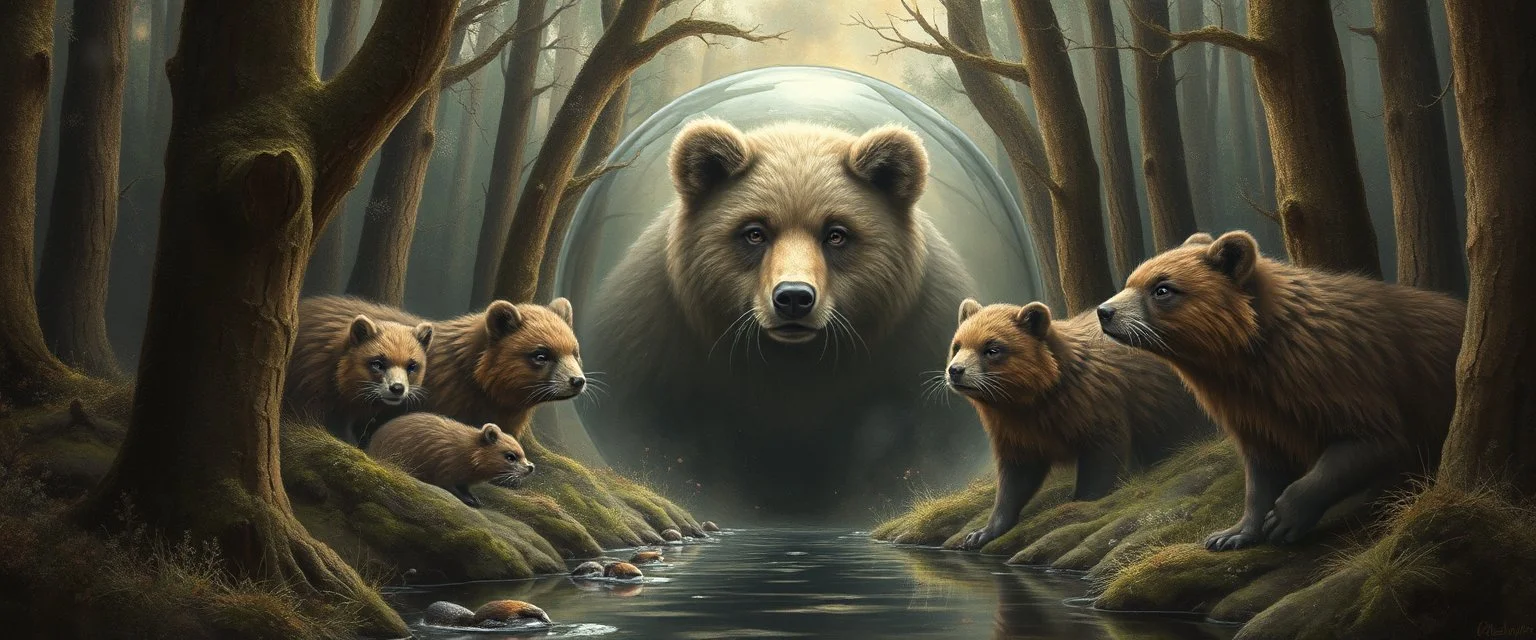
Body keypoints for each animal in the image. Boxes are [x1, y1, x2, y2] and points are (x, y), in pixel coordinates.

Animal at [946, 299, 1214, 550]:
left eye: (992, 349)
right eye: (957, 345)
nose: (955, 370)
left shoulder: (1095, 404)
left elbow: (1102, 459)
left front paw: (1079, 502)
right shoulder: (1016, 431)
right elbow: (1016, 478)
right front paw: (982, 532)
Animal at [1097, 231, 1465, 550]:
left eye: (1162, 289)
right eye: (1131, 280)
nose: (1104, 311)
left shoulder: (1345, 376)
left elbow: (1370, 441)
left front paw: (1286, 516)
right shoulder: (1252, 409)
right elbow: (1261, 470)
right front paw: (1234, 533)